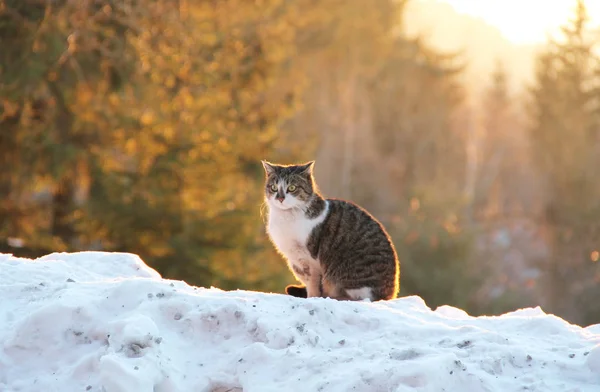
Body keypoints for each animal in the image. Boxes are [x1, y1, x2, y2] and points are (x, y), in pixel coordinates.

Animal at [262, 159, 398, 300]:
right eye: (273, 187)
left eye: (292, 188)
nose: (280, 198)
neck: (286, 217)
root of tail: (388, 294)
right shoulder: (296, 260)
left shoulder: (311, 260)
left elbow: (313, 285)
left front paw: (313, 297)